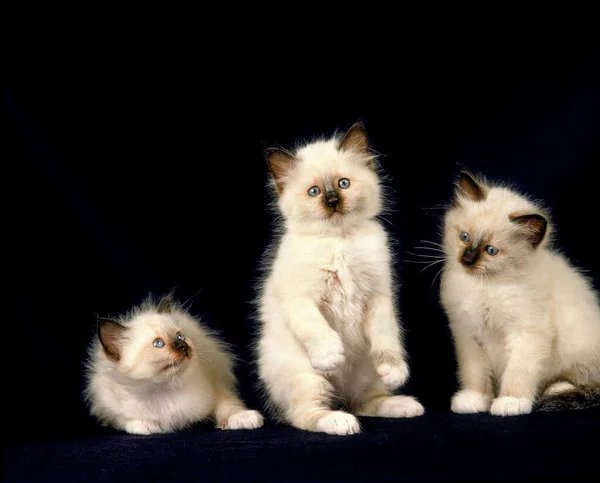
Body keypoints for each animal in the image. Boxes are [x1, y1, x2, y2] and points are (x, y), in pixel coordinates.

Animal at [83, 294, 264, 434]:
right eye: (158, 344)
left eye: (180, 336)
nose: (182, 346)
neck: (164, 388)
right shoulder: (110, 406)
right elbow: (125, 419)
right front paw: (144, 426)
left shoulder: (216, 388)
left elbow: (228, 406)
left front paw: (243, 418)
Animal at [255, 123, 424, 436]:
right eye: (314, 192)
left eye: (343, 184)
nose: (333, 201)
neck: (339, 240)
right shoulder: (301, 299)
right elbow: (317, 328)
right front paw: (332, 355)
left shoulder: (378, 296)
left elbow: (387, 337)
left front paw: (395, 371)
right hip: (308, 378)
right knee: (307, 415)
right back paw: (341, 421)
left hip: (366, 373)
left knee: (365, 402)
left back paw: (402, 404)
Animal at [440, 172, 600, 418]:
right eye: (465, 237)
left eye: (491, 250)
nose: (467, 259)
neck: (485, 287)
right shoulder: (467, 334)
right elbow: (474, 373)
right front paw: (474, 399)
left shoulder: (527, 335)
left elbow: (518, 372)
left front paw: (510, 402)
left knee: (584, 381)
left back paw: (556, 390)